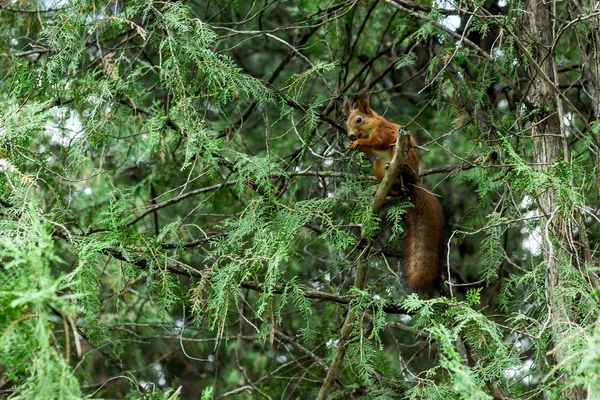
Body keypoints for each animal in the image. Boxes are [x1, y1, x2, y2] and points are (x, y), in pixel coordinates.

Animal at [346, 95, 446, 292]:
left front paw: (358, 143)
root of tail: (414, 182)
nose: (350, 135)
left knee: (400, 177)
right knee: (394, 186)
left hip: (402, 160)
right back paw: (382, 189)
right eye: (346, 122)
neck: (372, 126)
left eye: (359, 119)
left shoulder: (384, 133)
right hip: (377, 165)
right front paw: (351, 145)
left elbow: (377, 142)